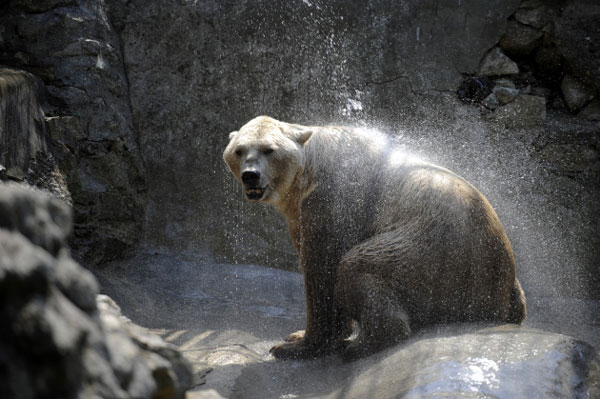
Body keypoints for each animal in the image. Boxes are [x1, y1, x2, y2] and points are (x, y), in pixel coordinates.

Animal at [221, 114, 524, 360]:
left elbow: (323, 266)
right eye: (239, 150)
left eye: (269, 150)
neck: (309, 171)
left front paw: (296, 345)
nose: (251, 175)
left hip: (433, 253)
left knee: (360, 265)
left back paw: (360, 345)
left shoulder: (333, 202)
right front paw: (297, 336)